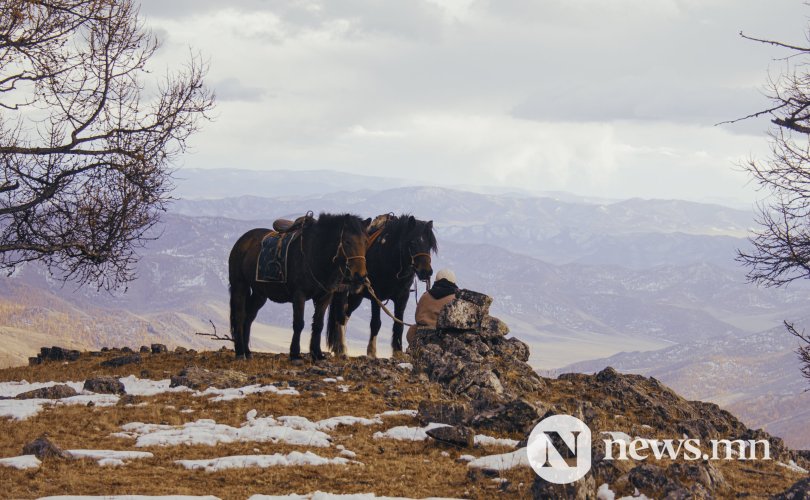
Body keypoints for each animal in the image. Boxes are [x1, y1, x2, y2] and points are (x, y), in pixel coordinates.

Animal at [226, 213, 368, 362]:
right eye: (347, 241)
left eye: (365, 241)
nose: (360, 276)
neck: (315, 254)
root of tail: (242, 241)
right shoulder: (299, 295)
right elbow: (299, 324)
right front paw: (295, 355)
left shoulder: (324, 297)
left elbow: (318, 325)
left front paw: (317, 354)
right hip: (239, 285)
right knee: (240, 316)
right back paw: (240, 352)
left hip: (260, 294)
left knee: (249, 318)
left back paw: (247, 352)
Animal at [326, 215, 436, 360]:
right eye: (412, 243)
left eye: (429, 245)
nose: (426, 272)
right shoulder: (376, 296)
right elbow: (376, 323)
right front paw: (371, 352)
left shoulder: (402, 297)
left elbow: (399, 324)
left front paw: (397, 351)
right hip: (343, 292)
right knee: (340, 316)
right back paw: (341, 348)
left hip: (357, 296)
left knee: (346, 314)